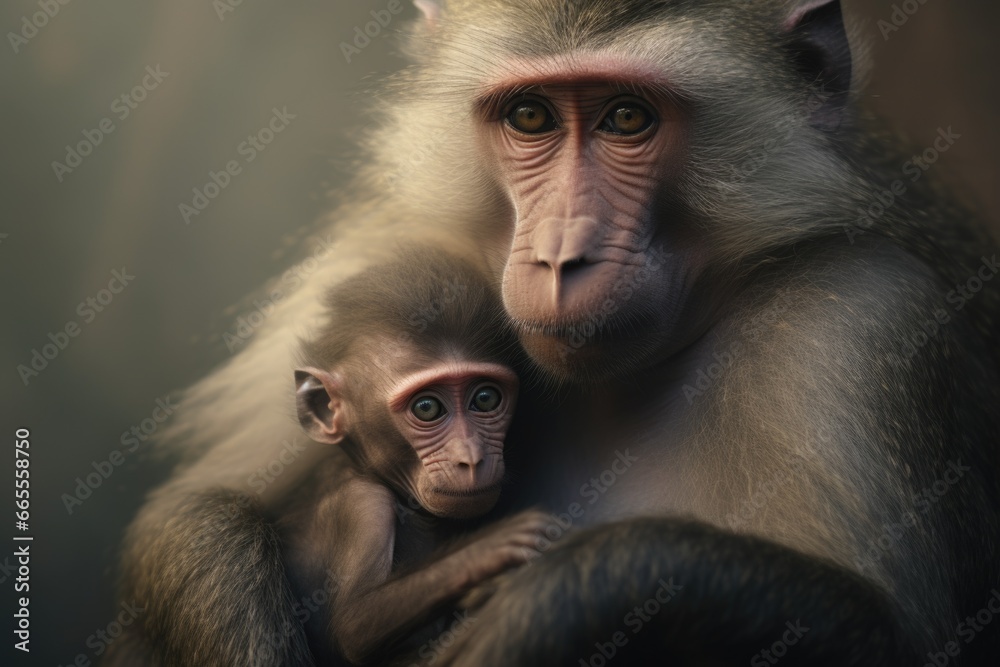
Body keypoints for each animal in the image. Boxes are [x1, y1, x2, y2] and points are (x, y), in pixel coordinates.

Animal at [110, 1, 1000, 665]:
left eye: (627, 118)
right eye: (531, 116)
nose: (560, 253)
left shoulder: (861, 316)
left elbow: (895, 633)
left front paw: (558, 603)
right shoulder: (379, 258)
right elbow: (190, 512)